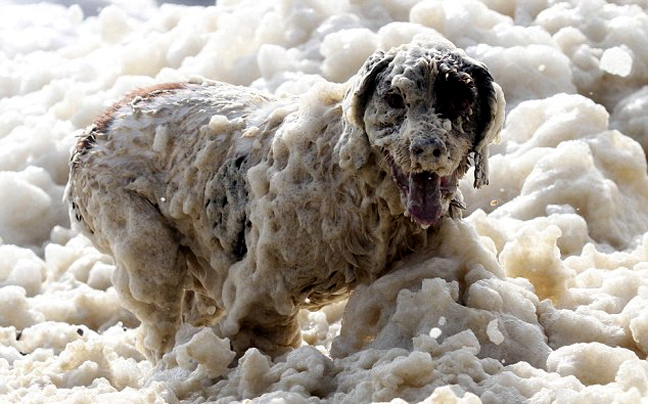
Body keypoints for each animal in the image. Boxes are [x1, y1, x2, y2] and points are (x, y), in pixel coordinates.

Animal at [66, 38, 506, 360]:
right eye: (395, 98)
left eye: (461, 100)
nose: (427, 148)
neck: (358, 182)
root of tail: (92, 132)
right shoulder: (261, 290)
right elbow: (264, 336)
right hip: (148, 250)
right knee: (160, 327)